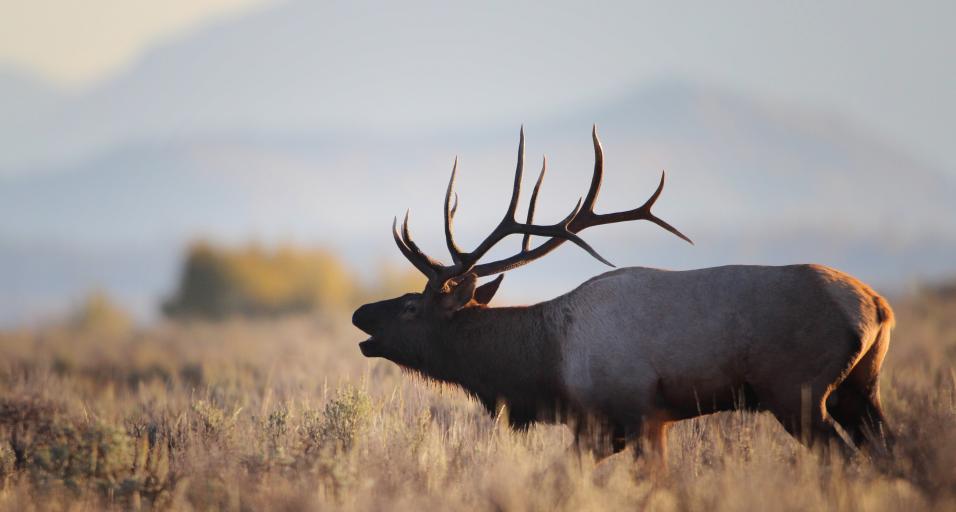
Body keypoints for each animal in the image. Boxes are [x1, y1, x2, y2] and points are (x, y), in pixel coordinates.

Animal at [352, 127, 895, 462]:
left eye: (411, 306)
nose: (360, 314)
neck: (545, 365)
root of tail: (877, 306)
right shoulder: (601, 430)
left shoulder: (637, 414)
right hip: (858, 390)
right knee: (888, 453)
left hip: (797, 391)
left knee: (844, 459)